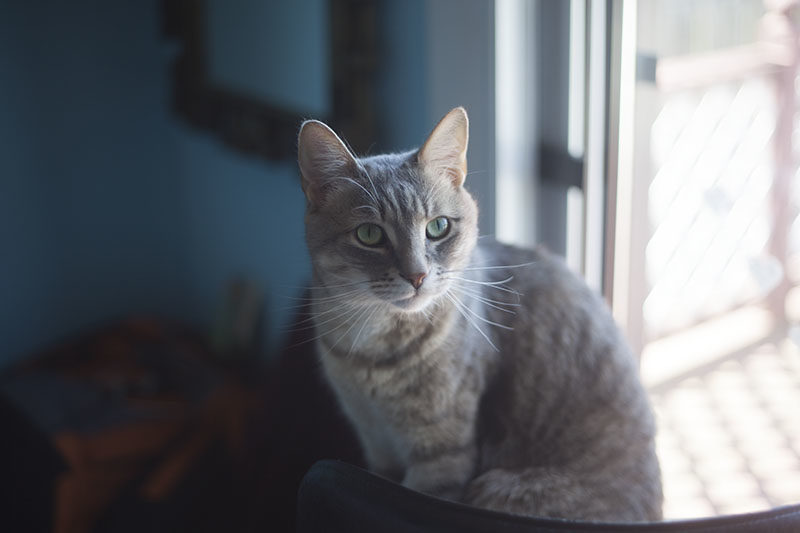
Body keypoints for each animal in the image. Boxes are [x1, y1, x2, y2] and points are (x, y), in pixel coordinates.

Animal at [294, 107, 664, 520]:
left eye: (438, 227)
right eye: (370, 235)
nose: (417, 275)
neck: (371, 352)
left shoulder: (442, 456)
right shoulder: (375, 444)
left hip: (498, 487)